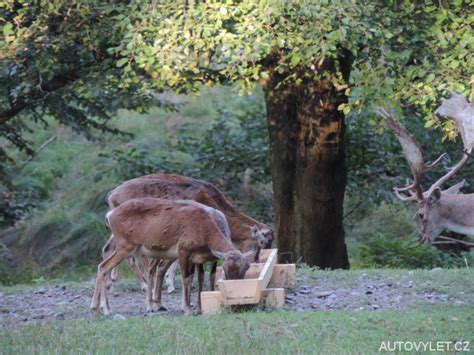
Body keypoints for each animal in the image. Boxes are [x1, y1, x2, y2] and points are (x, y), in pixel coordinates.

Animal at [89, 197, 252, 318]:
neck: (204, 229)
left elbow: (197, 278)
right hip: (126, 244)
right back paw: (107, 309)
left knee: (104, 263)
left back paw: (96, 307)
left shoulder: (197, 258)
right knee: (104, 266)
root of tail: (109, 215)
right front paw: (187, 309)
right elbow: (186, 279)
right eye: (225, 268)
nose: (237, 288)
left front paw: (195, 308)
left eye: (246, 268)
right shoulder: (183, 249)